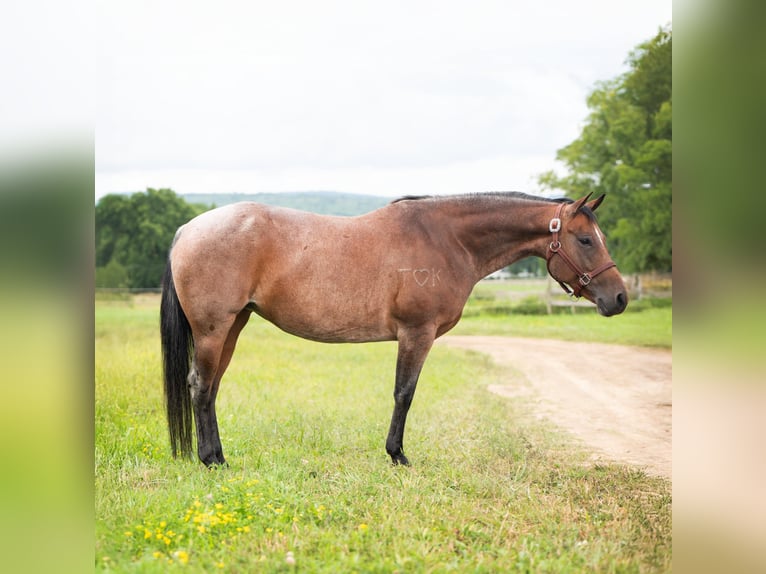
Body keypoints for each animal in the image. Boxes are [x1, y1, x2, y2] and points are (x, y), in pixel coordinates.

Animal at [160, 191, 627, 467]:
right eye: (586, 239)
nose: (620, 298)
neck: (447, 239)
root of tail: (187, 229)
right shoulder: (416, 333)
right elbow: (405, 393)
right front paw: (397, 455)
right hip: (214, 329)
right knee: (200, 385)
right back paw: (211, 460)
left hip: (233, 326)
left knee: (211, 388)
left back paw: (217, 456)